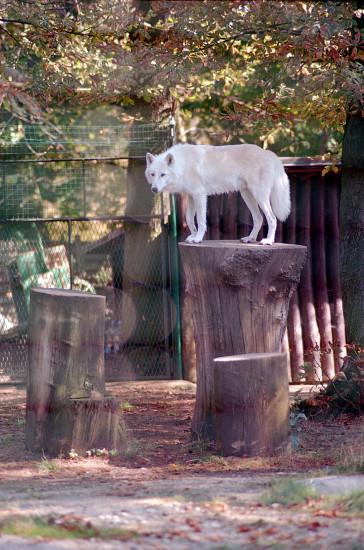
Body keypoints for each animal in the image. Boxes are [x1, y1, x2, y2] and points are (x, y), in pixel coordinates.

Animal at [145, 143, 290, 245]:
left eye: (163, 174)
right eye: (152, 174)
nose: (154, 189)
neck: (183, 164)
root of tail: (268, 153)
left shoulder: (200, 195)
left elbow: (200, 221)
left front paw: (198, 238)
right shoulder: (191, 197)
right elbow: (189, 219)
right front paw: (193, 236)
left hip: (259, 195)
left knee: (272, 218)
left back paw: (268, 241)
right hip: (247, 196)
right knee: (259, 218)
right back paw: (250, 238)